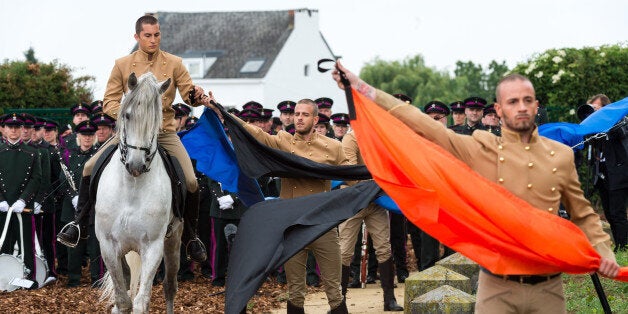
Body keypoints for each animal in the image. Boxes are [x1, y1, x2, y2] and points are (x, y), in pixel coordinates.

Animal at [95, 72, 183, 312]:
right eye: (127, 115)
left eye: (156, 120)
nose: (136, 165)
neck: (132, 188)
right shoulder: (108, 246)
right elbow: (122, 300)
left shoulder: (153, 247)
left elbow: (140, 302)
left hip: (173, 241)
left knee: (169, 286)